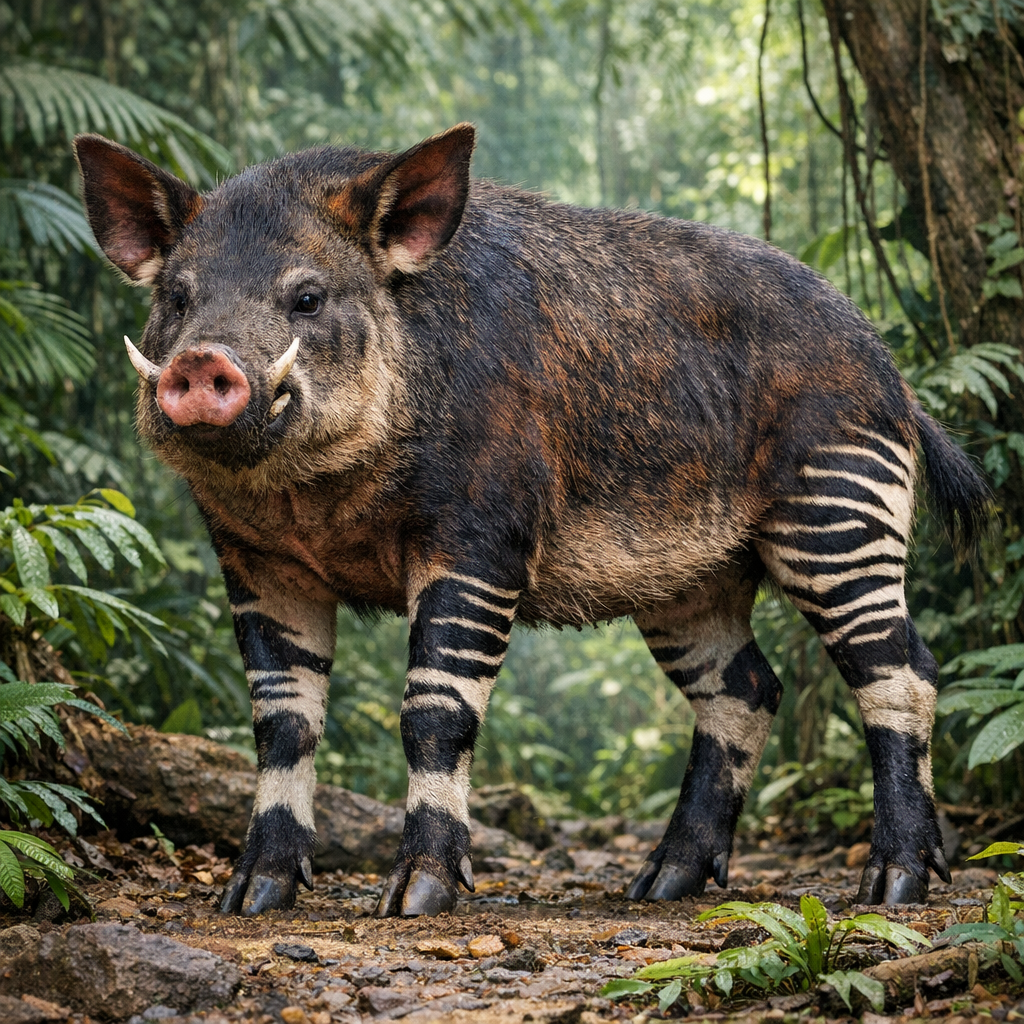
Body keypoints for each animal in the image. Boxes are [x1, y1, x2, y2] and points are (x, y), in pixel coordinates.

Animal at [74, 124, 988, 917]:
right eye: (177, 296)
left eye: (306, 296)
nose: (201, 360)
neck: (319, 503)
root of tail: (895, 378)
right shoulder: (258, 563)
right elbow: (282, 723)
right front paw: (249, 898)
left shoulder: (481, 535)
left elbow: (434, 709)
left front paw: (413, 901)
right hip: (691, 581)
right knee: (747, 690)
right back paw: (658, 887)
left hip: (838, 505)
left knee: (901, 670)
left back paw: (893, 887)